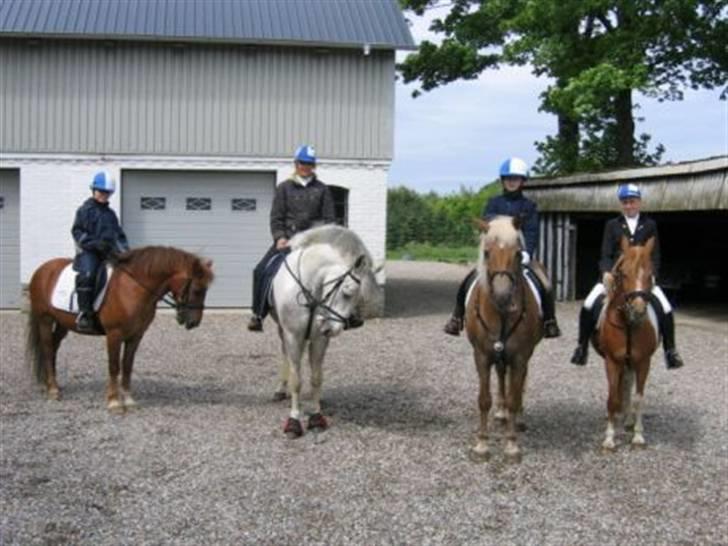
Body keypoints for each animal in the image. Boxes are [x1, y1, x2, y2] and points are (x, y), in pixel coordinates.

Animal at [26, 245, 213, 408]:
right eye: (197, 290)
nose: (194, 322)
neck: (132, 289)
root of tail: (42, 269)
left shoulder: (136, 336)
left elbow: (127, 365)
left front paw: (129, 399)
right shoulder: (114, 335)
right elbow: (114, 366)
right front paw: (114, 401)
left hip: (62, 322)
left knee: (54, 346)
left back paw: (51, 384)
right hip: (45, 319)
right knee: (48, 349)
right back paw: (53, 390)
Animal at [268, 223, 382, 436]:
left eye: (358, 297)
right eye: (347, 292)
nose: (331, 328)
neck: (311, 291)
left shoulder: (319, 339)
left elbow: (316, 378)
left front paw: (316, 416)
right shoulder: (293, 336)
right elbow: (297, 379)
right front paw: (294, 420)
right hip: (282, 330)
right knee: (285, 354)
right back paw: (280, 390)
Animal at [466, 215, 544, 462]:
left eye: (518, 253)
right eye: (486, 252)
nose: (502, 296)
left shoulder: (519, 357)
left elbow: (514, 398)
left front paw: (511, 445)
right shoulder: (481, 356)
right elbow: (484, 399)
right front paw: (482, 444)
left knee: (517, 387)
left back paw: (517, 419)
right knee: (501, 376)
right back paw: (500, 414)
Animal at [596, 236, 656, 448]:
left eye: (650, 274)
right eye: (623, 273)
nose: (638, 309)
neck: (628, 323)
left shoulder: (643, 362)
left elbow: (639, 399)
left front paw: (638, 436)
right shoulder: (612, 361)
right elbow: (612, 398)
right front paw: (609, 438)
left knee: (629, 386)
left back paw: (628, 420)